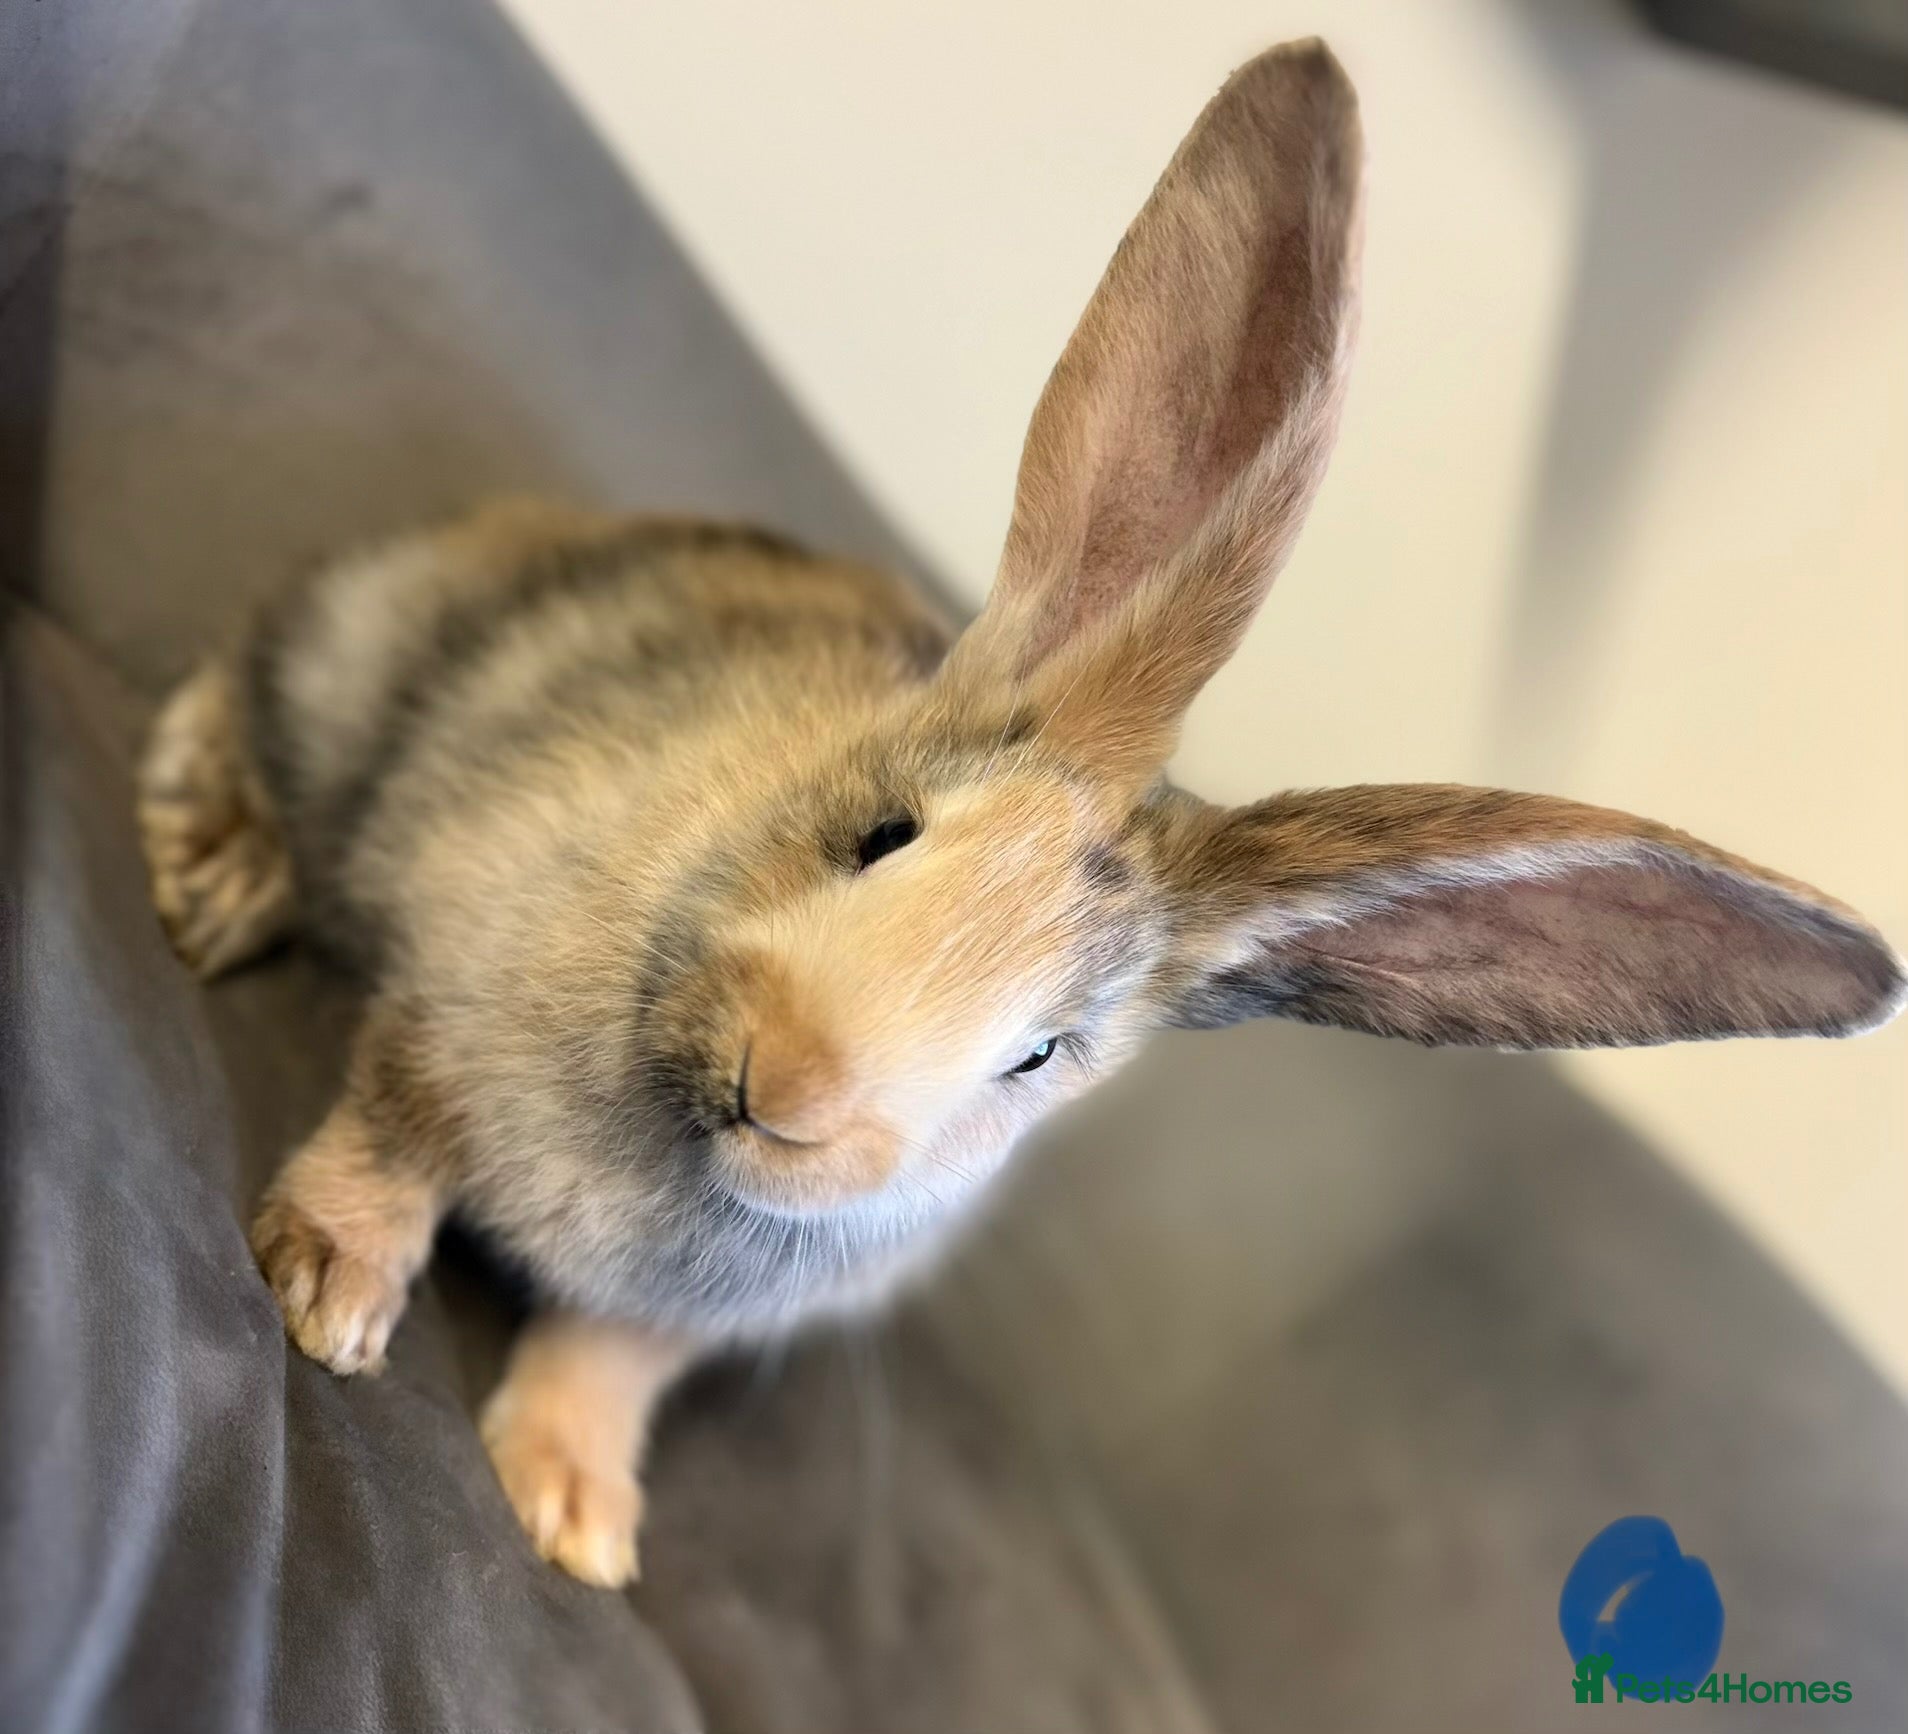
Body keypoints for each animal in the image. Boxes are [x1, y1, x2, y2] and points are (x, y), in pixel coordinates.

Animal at [135, 39, 1904, 1590]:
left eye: (1040, 1055)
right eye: (882, 835)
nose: (791, 1083)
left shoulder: (690, 1317)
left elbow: (613, 1352)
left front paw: (572, 1512)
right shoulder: (444, 1004)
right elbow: (393, 1133)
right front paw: (324, 1293)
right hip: (361, 651)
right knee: (248, 672)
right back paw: (212, 867)